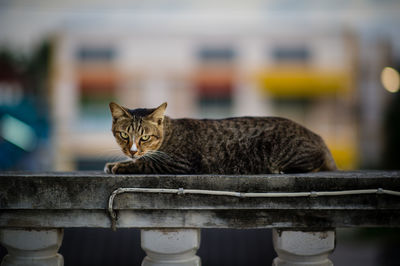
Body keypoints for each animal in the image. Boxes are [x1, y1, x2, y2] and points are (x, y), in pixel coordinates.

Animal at [104, 102, 336, 175]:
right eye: (124, 135)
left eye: (144, 137)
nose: (132, 150)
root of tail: (318, 136)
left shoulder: (179, 163)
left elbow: (145, 164)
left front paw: (120, 166)